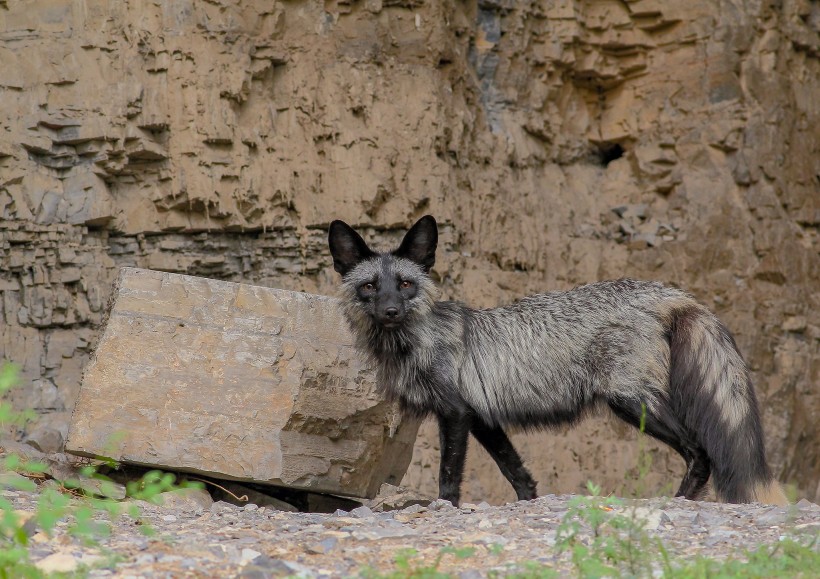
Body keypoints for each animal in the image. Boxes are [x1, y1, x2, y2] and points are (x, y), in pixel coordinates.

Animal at [326, 215, 788, 506]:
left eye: (405, 284)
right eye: (370, 286)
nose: (390, 311)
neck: (416, 343)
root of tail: (667, 291)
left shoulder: (455, 412)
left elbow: (449, 475)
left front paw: (446, 509)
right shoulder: (482, 417)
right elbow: (517, 472)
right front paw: (529, 503)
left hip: (631, 402)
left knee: (700, 453)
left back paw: (677, 502)